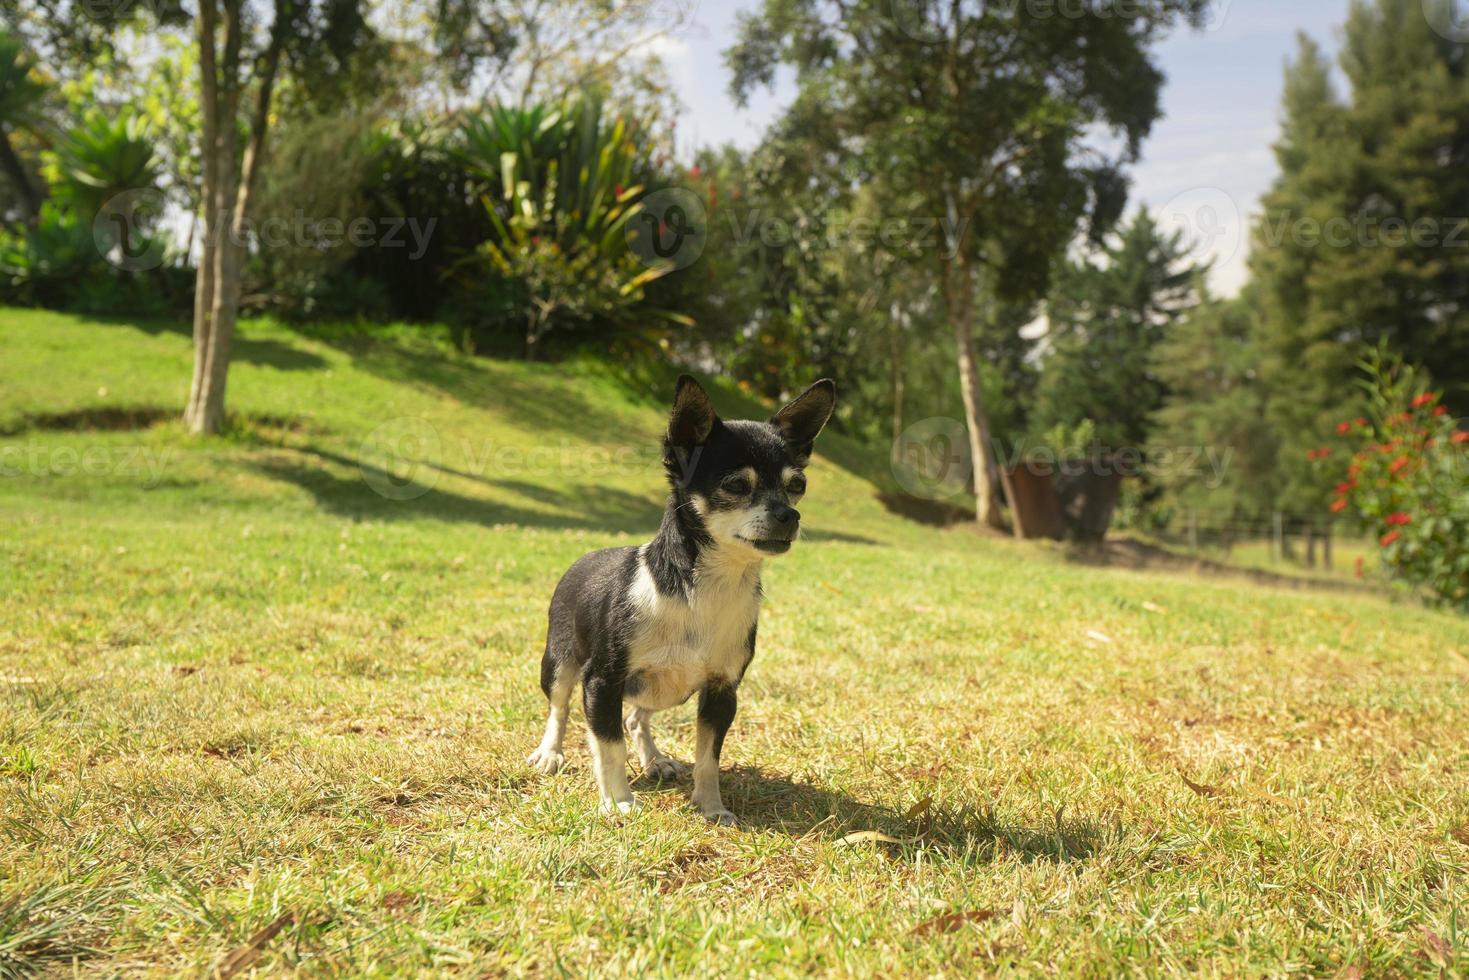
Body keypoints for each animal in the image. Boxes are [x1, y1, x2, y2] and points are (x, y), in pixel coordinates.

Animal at [525, 373, 840, 822]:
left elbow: (708, 756)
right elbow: (609, 747)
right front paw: (618, 800)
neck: (708, 588)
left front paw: (711, 806)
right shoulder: (601, 682)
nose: (789, 515)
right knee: (560, 707)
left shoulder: (721, 691)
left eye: (797, 486)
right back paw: (550, 752)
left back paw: (655, 759)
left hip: (668, 688)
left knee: (637, 717)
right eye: (736, 485)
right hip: (561, 663)